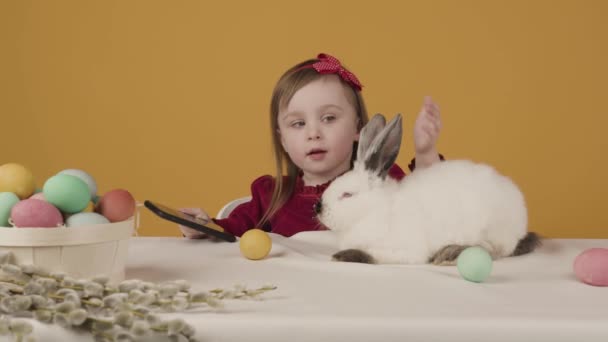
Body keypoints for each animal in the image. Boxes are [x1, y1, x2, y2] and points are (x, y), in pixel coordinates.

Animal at [316, 113, 540, 266]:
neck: (377, 209)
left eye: (347, 195)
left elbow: (373, 255)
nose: (318, 208)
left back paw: (449, 254)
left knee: (493, 250)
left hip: (491, 231)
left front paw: (343, 256)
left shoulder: (404, 250)